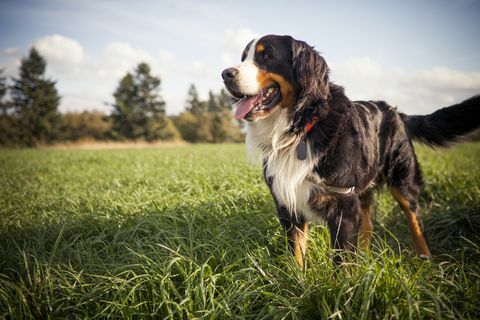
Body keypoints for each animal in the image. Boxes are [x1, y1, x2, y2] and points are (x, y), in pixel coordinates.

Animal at [221, 33, 480, 266]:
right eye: (243, 57)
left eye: (266, 56)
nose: (225, 74)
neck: (302, 127)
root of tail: (396, 111)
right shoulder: (288, 205)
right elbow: (296, 255)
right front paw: (297, 282)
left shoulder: (343, 204)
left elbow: (342, 260)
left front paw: (342, 286)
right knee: (368, 225)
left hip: (402, 181)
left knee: (416, 220)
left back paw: (425, 260)